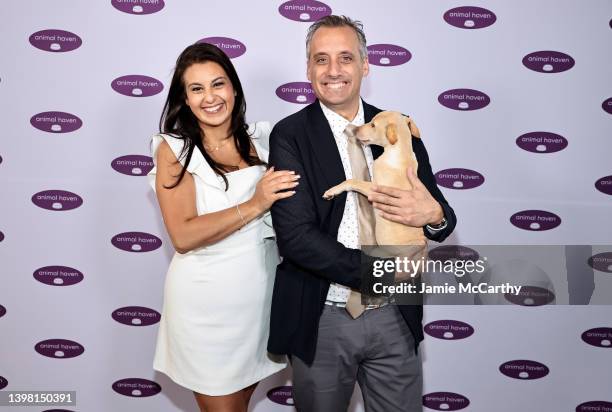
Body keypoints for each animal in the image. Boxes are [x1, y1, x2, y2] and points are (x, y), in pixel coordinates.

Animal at [326, 110, 426, 248]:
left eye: (373, 125)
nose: (355, 130)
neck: (401, 152)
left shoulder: (375, 190)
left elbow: (352, 181)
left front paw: (331, 191)